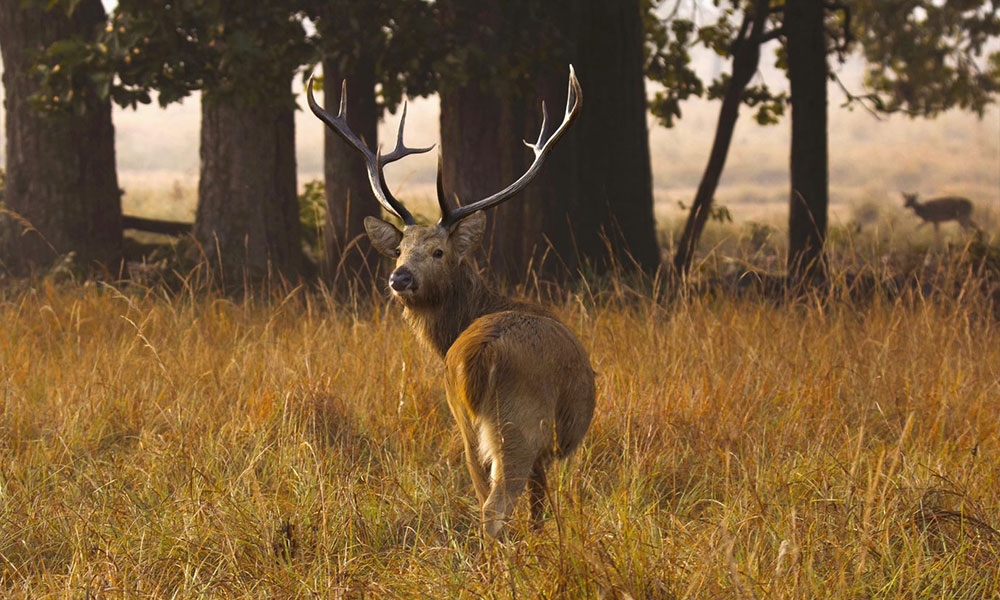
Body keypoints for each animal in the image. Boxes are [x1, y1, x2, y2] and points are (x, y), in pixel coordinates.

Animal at [304, 67, 592, 540]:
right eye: (400, 250)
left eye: (437, 252)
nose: (399, 277)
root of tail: (480, 354)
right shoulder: (545, 450)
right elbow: (539, 507)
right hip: (520, 424)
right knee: (495, 506)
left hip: (465, 423)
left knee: (480, 495)